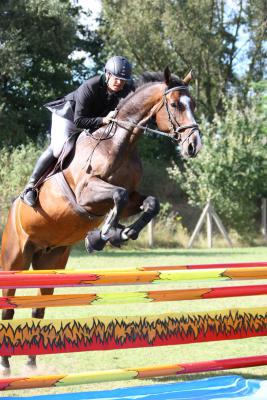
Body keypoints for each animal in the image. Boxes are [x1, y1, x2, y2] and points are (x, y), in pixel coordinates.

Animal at [0, 66, 201, 376]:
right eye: (176, 104)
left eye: (193, 105)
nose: (194, 145)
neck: (120, 143)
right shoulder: (86, 193)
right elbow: (116, 195)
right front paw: (104, 234)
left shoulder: (131, 198)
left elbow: (149, 203)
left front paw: (121, 233)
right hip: (15, 260)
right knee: (8, 308)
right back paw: (7, 365)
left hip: (51, 262)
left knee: (39, 307)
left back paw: (32, 364)